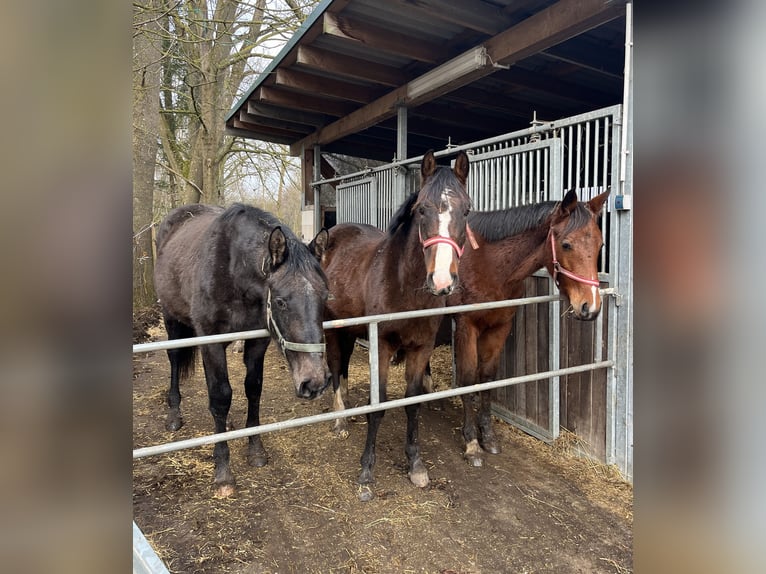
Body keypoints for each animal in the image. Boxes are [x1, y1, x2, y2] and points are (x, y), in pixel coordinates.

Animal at [312, 151, 474, 502]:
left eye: (467, 210)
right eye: (422, 209)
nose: (442, 281)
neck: (402, 286)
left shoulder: (421, 348)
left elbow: (412, 402)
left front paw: (416, 464)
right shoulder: (382, 347)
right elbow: (379, 405)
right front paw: (366, 471)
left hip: (349, 330)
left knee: (344, 365)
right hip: (333, 329)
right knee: (336, 365)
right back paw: (340, 419)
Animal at [450, 189, 612, 468]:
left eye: (601, 245)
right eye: (566, 244)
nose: (590, 307)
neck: (487, 263)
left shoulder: (499, 326)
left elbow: (487, 377)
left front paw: (488, 437)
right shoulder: (466, 326)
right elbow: (469, 380)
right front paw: (471, 443)